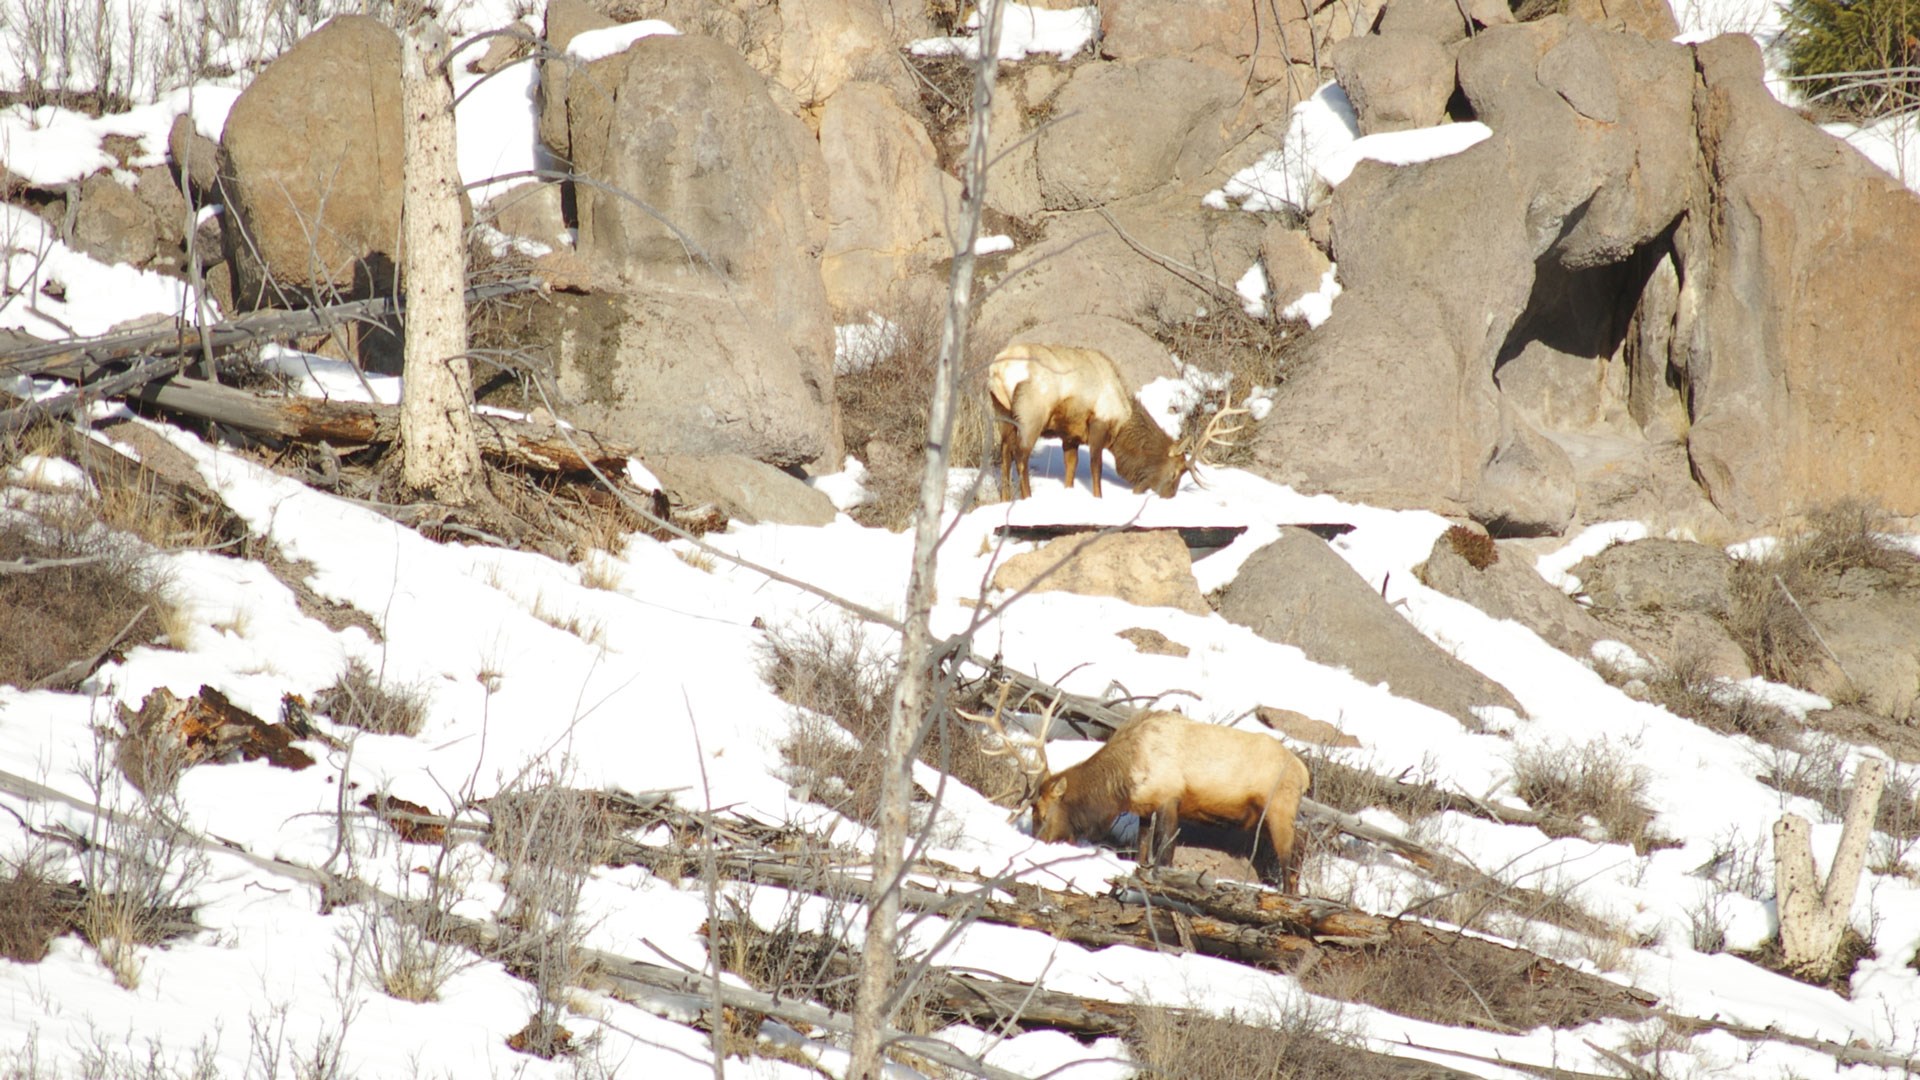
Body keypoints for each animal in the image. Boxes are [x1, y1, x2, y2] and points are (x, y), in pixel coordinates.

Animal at [967, 703, 1313, 887]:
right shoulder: (1145, 809)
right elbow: (1143, 854)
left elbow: (1165, 854)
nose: (1037, 842)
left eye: (1039, 811)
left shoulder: (1170, 799)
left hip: (1280, 808)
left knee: (1292, 856)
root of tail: (1304, 772)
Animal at [990, 340, 1244, 499]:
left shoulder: (1070, 434)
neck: (1123, 422)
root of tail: (998, 369)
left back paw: (1005, 499)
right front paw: (1098, 497)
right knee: (1021, 456)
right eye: (1176, 472)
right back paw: (1027, 498)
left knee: (1004, 453)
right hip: (1032, 413)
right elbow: (1096, 467)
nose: (1168, 496)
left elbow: (1071, 468)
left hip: (1002, 412)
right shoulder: (1099, 424)